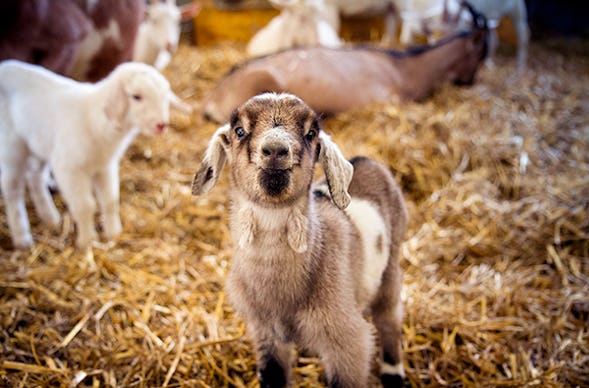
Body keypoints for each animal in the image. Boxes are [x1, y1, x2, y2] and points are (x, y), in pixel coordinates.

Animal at [0, 60, 177, 249]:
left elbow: (110, 200)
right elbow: (85, 205)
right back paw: (22, 238)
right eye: (136, 96)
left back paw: (49, 217)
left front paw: (114, 233)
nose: (161, 125)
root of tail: (5, 65)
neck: (95, 121)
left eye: (164, 96)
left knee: (35, 176)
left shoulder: (105, 166)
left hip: (39, 142)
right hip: (12, 146)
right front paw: (88, 240)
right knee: (12, 189)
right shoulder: (69, 169)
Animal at [193, 94, 408, 388]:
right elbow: (273, 375)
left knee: (389, 319)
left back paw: (393, 372)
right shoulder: (266, 333)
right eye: (239, 130)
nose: (275, 150)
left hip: (392, 265)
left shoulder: (348, 343)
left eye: (311, 133)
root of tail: (366, 160)